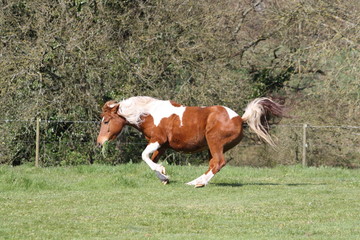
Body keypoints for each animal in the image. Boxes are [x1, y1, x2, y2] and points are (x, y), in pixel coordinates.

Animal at [97, 96, 286, 188]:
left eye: (106, 121)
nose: (99, 143)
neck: (150, 113)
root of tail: (240, 118)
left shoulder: (158, 140)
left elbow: (144, 156)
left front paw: (163, 173)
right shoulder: (162, 145)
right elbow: (152, 160)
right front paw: (164, 176)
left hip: (214, 143)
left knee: (218, 163)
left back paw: (198, 183)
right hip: (211, 147)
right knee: (212, 164)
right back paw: (195, 181)